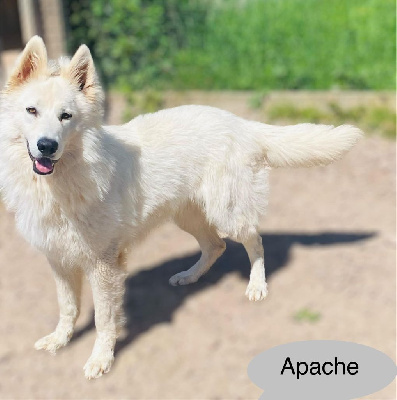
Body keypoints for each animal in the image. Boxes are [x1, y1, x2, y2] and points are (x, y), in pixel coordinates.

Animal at [0, 36, 358, 378]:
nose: (47, 146)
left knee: (254, 241)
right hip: (188, 217)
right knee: (216, 246)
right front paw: (60, 340)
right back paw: (189, 276)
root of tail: (241, 123)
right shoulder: (59, 261)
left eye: (66, 116)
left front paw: (101, 359)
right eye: (31, 111)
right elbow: (68, 308)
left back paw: (257, 286)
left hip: (227, 212)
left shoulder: (104, 265)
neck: (60, 184)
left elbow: (103, 320)